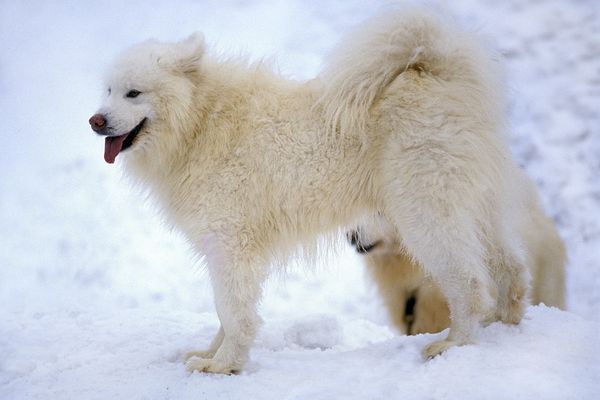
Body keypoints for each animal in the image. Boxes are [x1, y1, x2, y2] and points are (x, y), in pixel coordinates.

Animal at [89, 7, 528, 374]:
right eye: (108, 90)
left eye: (134, 93)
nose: (96, 121)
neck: (201, 121)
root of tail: (440, 72)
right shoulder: (227, 249)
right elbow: (226, 313)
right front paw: (210, 354)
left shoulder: (231, 243)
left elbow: (232, 311)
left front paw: (222, 366)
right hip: (477, 207)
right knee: (509, 267)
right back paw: (504, 324)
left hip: (425, 213)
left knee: (469, 282)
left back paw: (454, 344)